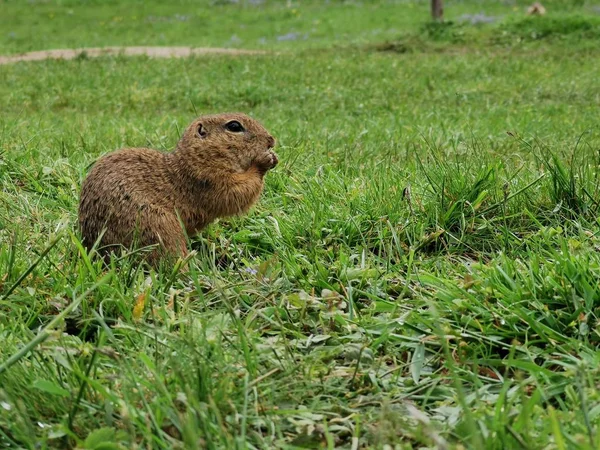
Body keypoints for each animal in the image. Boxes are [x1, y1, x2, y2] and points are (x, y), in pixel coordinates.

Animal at [77, 113, 278, 264]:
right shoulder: (209, 179)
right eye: (234, 126)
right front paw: (263, 161)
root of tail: (95, 251)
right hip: (158, 226)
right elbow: (236, 192)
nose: (271, 140)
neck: (194, 158)